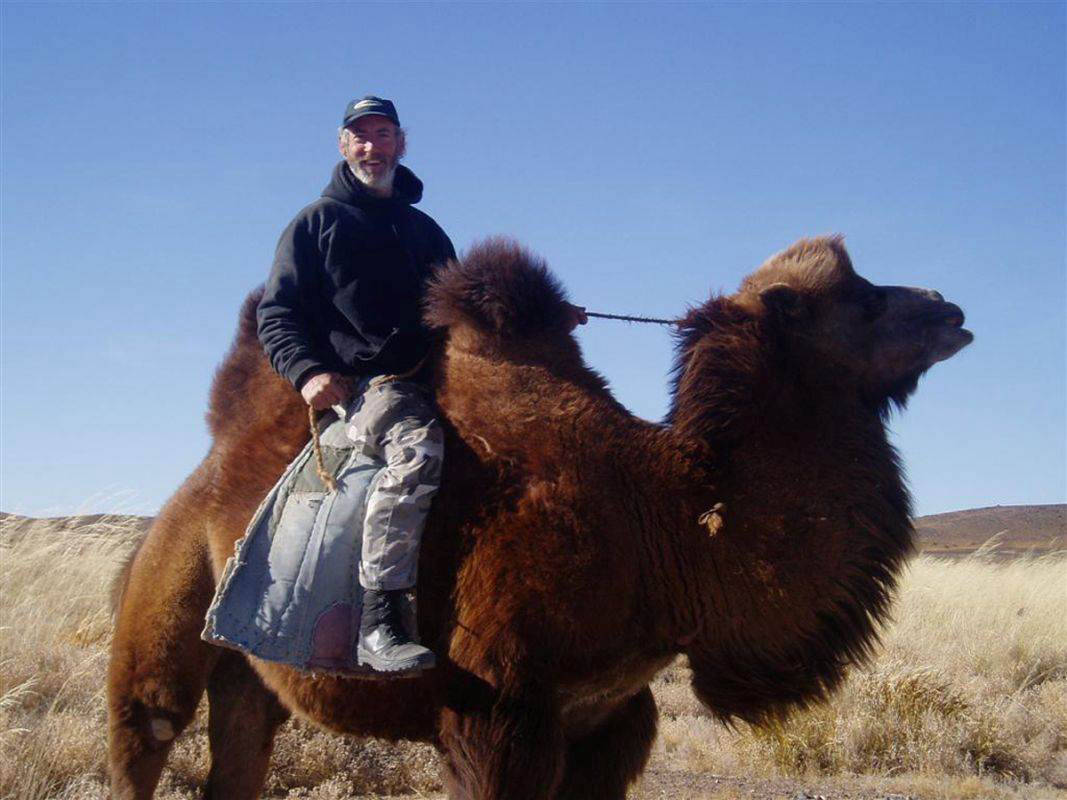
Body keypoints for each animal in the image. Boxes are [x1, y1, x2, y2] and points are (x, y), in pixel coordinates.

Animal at [108, 235, 972, 799]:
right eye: (862, 300)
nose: (950, 308)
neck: (664, 527)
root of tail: (209, 473)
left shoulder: (611, 721)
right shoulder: (496, 716)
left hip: (248, 669)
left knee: (238, 753)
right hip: (166, 596)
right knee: (147, 728)